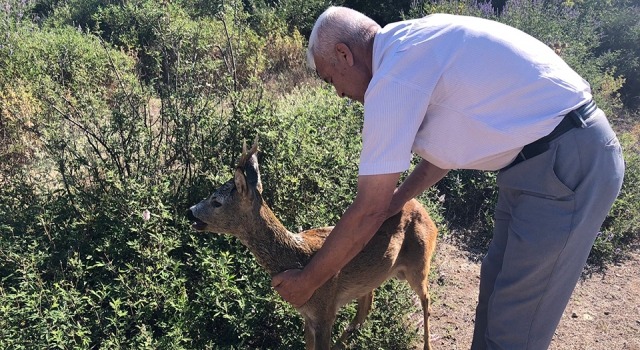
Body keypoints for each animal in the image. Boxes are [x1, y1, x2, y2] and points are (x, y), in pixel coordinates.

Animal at [188, 139, 438, 350]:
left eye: (216, 202)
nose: (189, 211)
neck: (298, 259)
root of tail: (425, 211)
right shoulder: (308, 316)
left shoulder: (325, 313)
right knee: (367, 302)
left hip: (419, 263)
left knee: (426, 298)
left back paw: (427, 344)